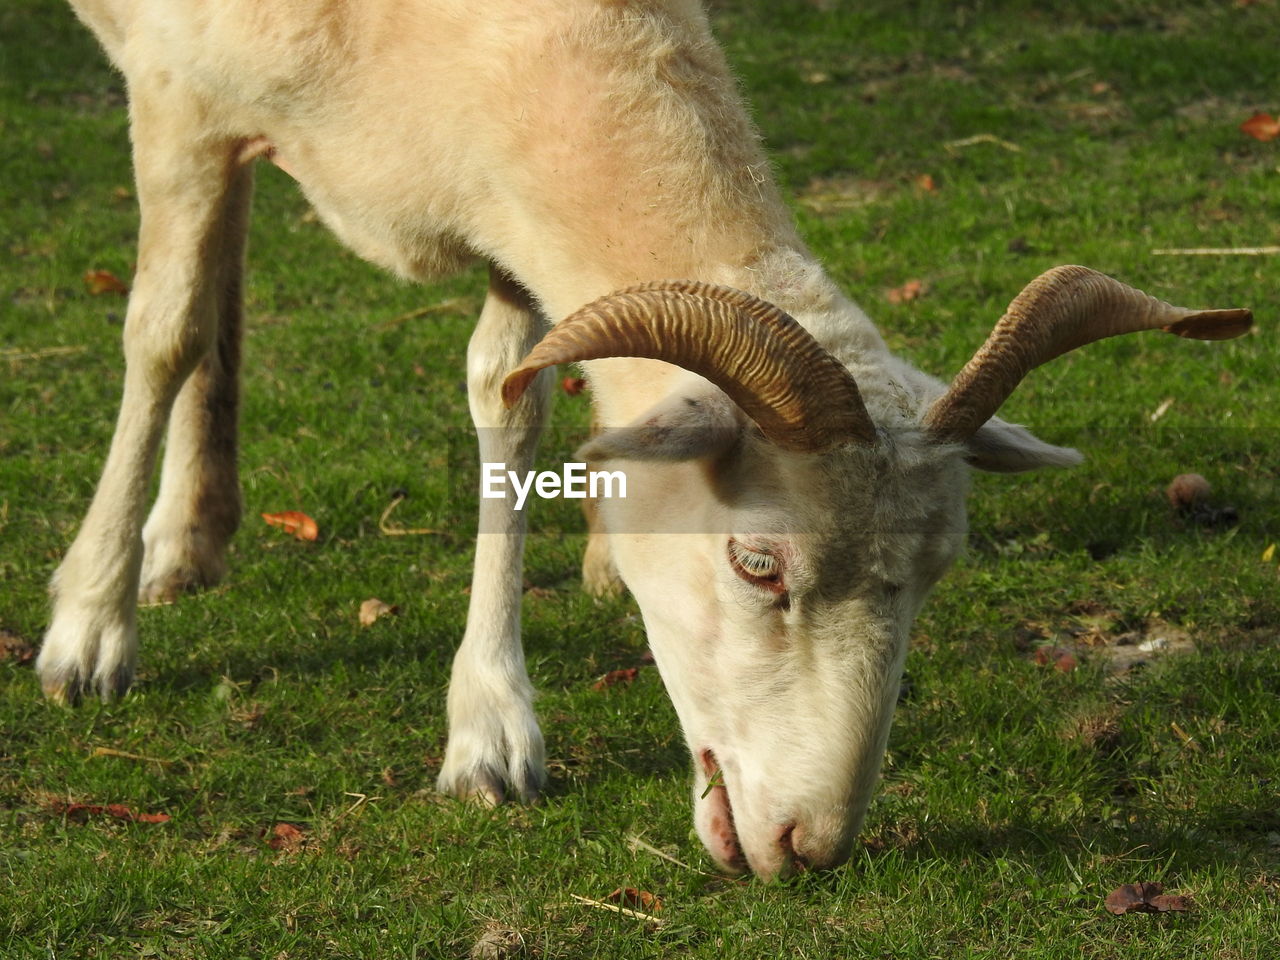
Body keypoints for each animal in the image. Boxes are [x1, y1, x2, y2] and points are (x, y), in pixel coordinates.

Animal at [40, 0, 1249, 880]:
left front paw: (489, 721)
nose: (810, 847)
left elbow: (510, 396)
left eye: (937, 573)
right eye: (756, 565)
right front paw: (88, 628)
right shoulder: (178, 100)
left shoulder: (512, 214)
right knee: (199, 302)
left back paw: (200, 528)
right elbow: (159, 335)